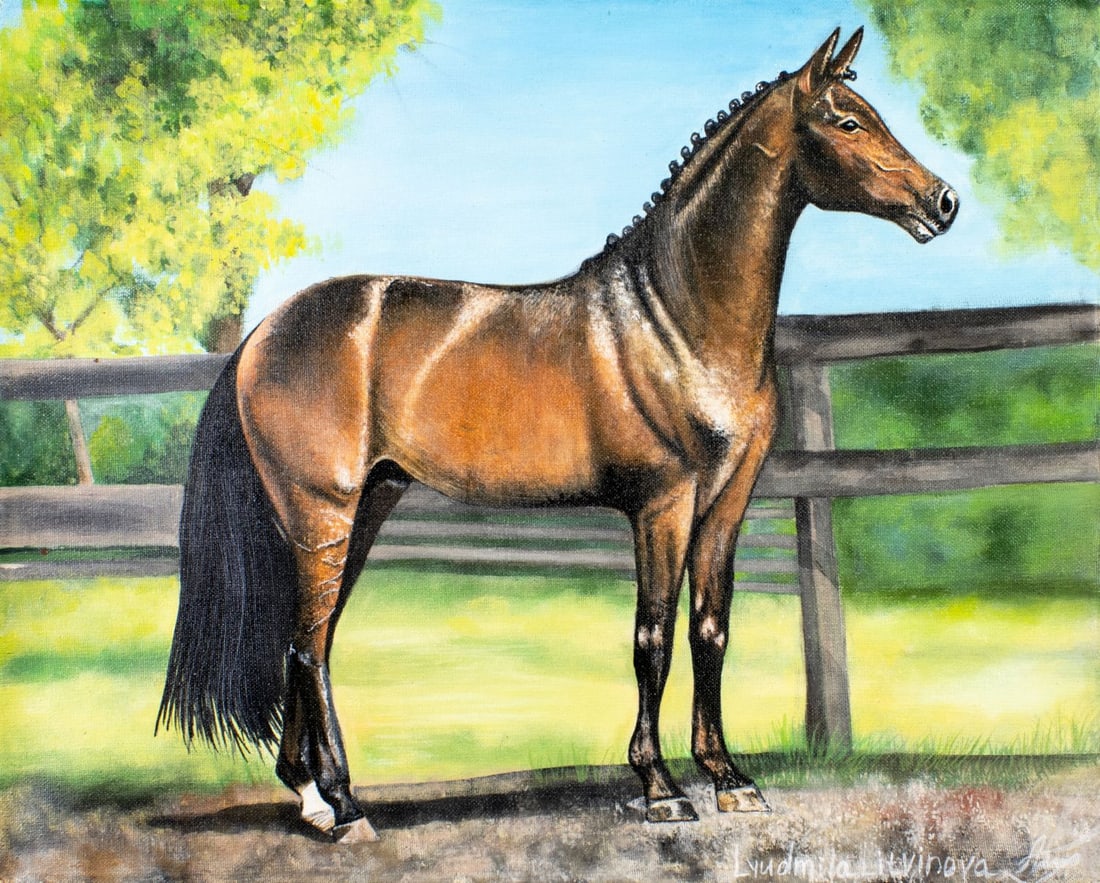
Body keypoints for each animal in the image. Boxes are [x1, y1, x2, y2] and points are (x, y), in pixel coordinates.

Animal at [158, 28, 958, 842]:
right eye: (848, 121)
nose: (944, 201)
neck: (677, 317)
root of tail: (264, 332)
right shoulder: (663, 506)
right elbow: (652, 639)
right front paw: (661, 786)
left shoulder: (726, 503)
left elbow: (709, 631)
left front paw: (729, 778)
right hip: (322, 512)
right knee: (307, 648)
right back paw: (346, 806)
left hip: (365, 507)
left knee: (306, 642)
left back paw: (312, 795)